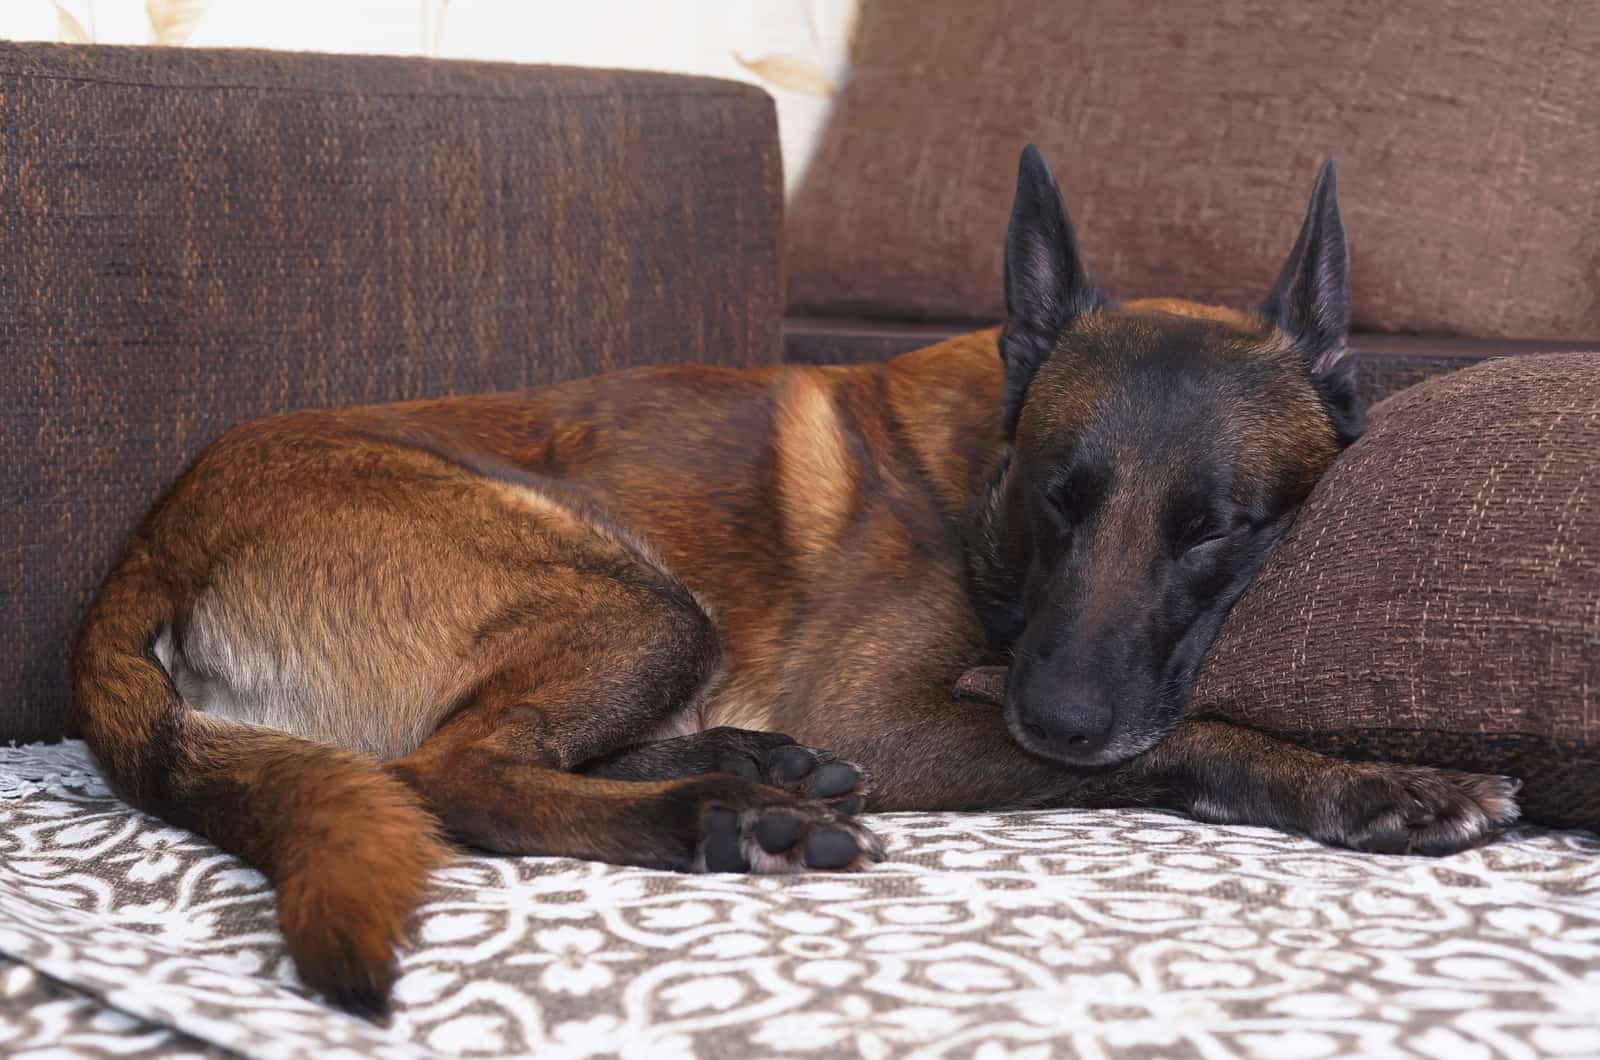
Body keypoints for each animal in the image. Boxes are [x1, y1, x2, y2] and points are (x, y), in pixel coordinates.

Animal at [75, 147, 1523, 1011]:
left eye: (1217, 529)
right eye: (1053, 502)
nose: (1057, 717)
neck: (975, 476)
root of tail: (151, 538)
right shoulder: (893, 713)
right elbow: (1200, 732)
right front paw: (1371, 783)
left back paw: (751, 767)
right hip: (636, 596)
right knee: (450, 775)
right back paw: (724, 817)